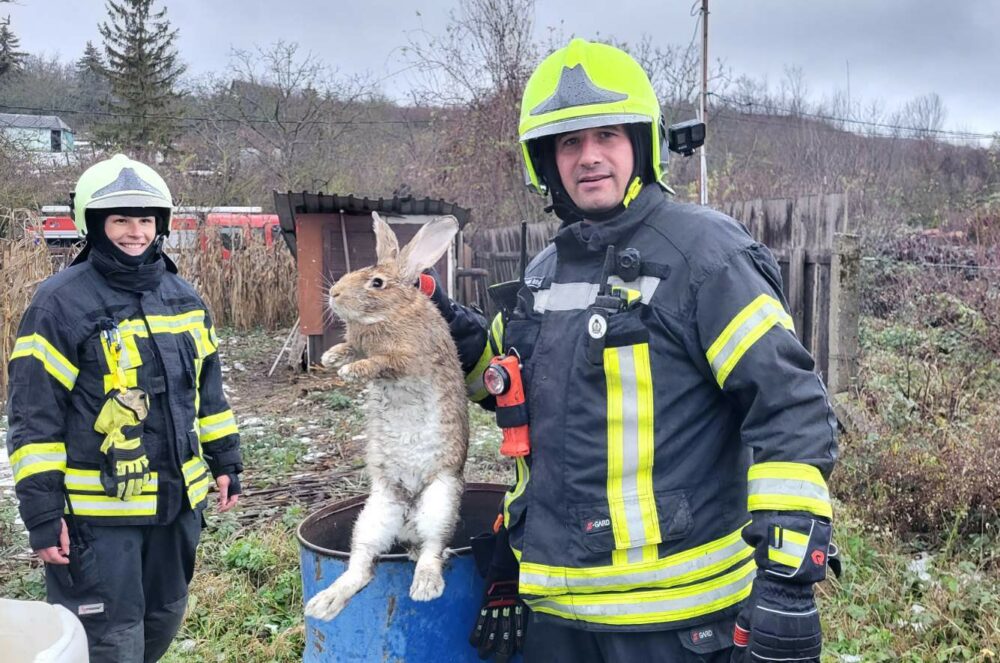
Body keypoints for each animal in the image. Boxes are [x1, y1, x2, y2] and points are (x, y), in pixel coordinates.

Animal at [304, 213, 472, 624]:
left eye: (376, 282)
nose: (334, 294)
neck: (392, 310)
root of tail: (408, 515)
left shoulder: (406, 359)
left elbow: (380, 362)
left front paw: (351, 371)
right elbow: (351, 346)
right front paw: (332, 358)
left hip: (441, 501)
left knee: (431, 549)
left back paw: (425, 587)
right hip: (375, 514)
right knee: (362, 566)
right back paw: (324, 604)